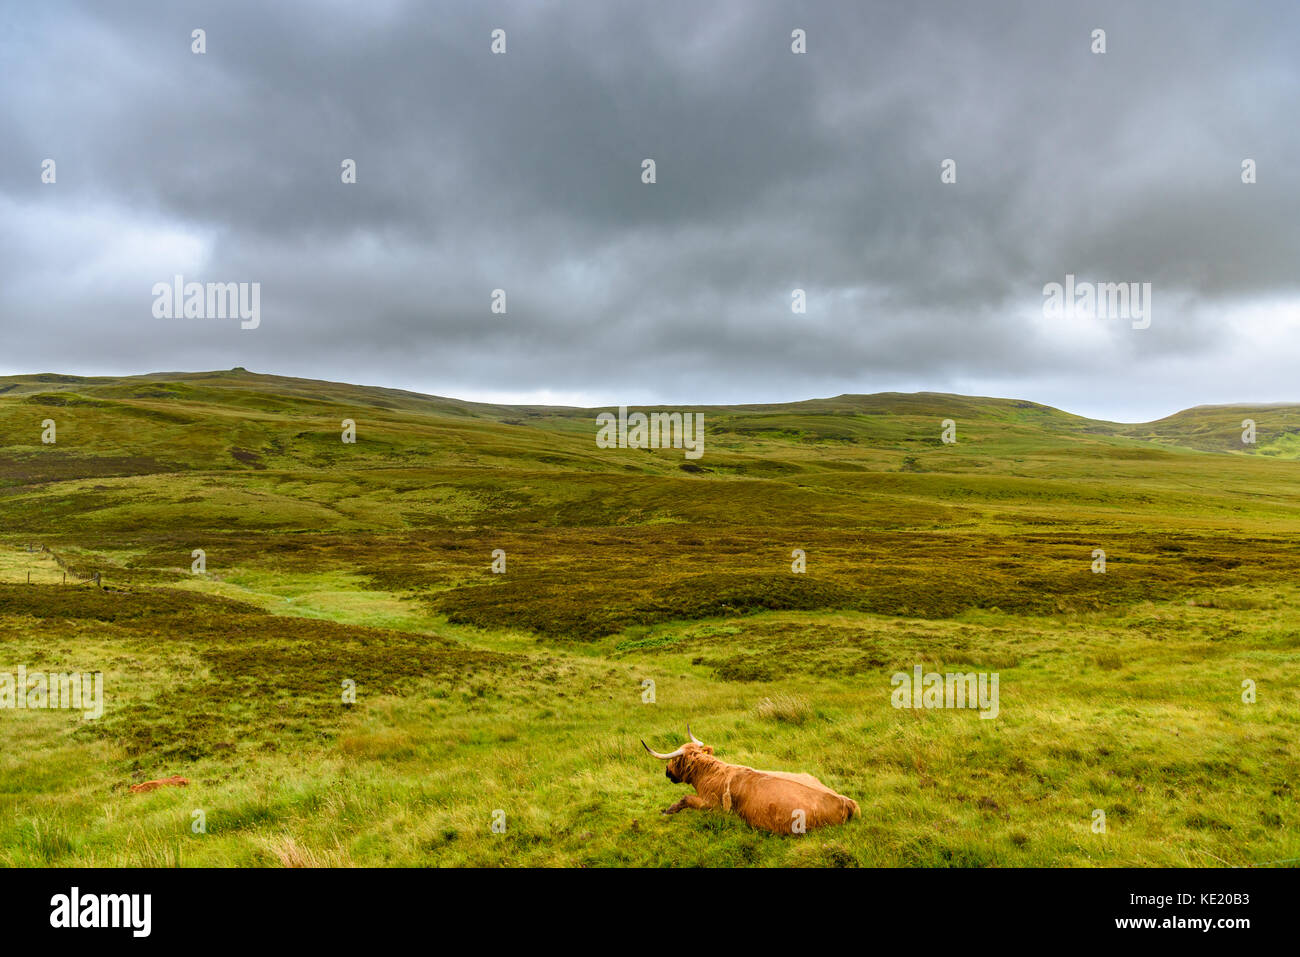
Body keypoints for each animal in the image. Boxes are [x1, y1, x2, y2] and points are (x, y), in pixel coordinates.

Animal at [642, 728, 863, 832]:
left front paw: (667, 810)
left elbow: (685, 799)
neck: (711, 773)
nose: (667, 771)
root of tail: (845, 801)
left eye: (674, 760)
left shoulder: (712, 806)